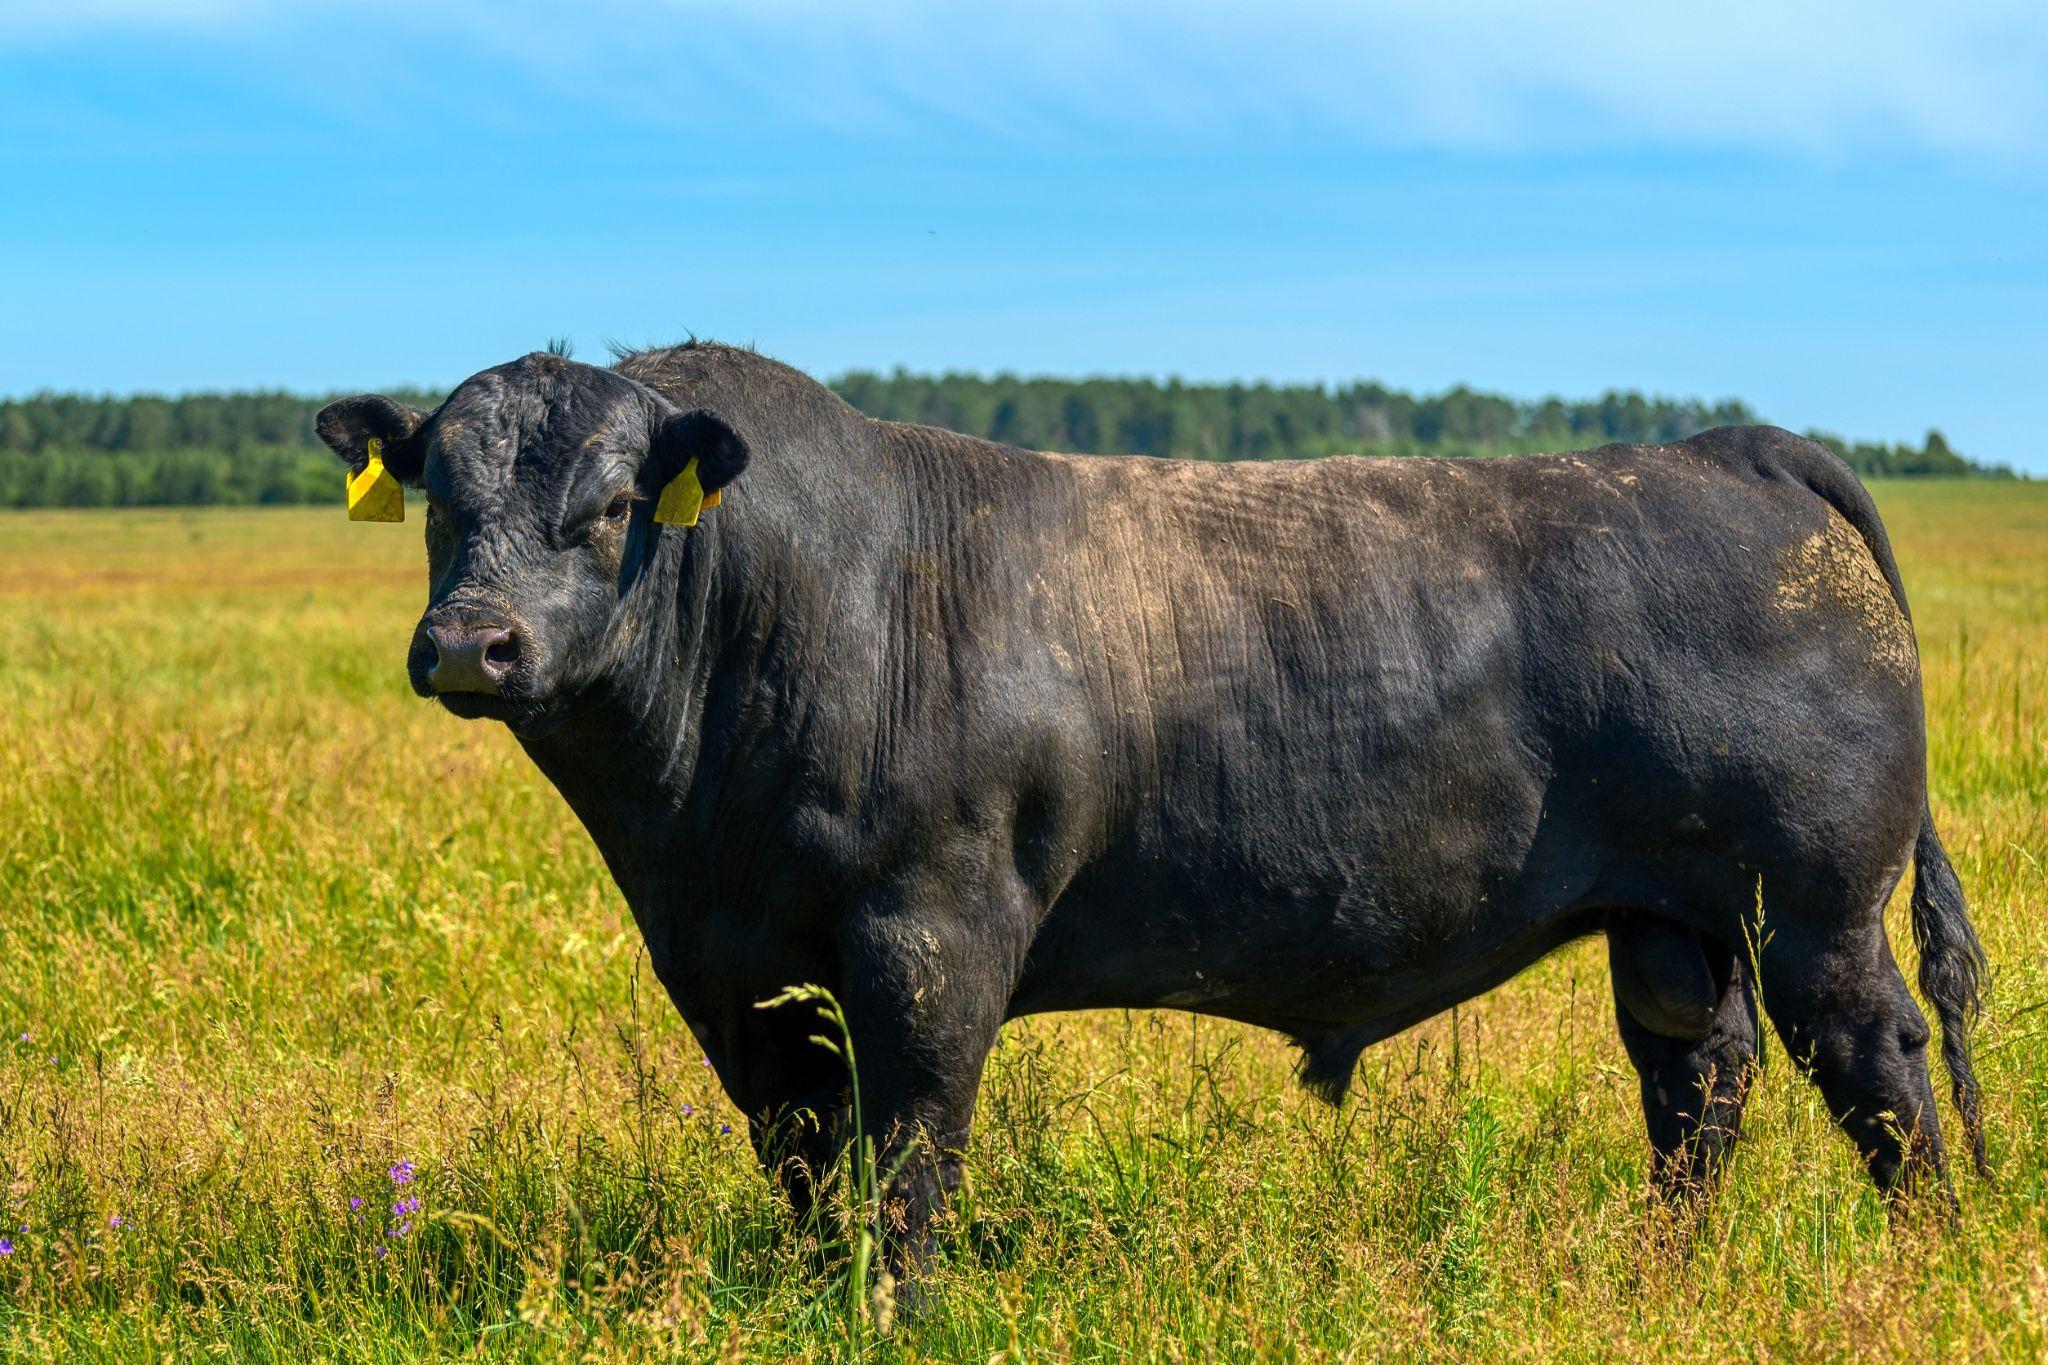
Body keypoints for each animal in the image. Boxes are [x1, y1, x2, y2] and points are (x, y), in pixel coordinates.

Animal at [315, 343, 1982, 1285]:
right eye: (442, 500)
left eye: (609, 510)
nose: (471, 643)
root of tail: (1730, 447)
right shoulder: (735, 973)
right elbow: (804, 1164)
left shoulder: (932, 936)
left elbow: (906, 1160)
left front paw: (891, 1313)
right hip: (1673, 921)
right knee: (1697, 1082)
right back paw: (1656, 1274)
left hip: (1816, 907)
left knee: (1882, 1070)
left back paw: (1937, 1265)